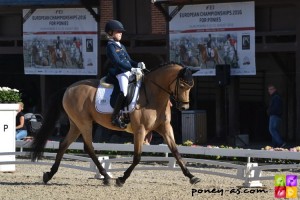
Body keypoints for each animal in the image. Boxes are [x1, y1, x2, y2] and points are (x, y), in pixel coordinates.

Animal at [30, 62, 200, 186]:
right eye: (182, 85)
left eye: (191, 86)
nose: (184, 107)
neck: (154, 95)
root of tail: (68, 88)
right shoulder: (140, 130)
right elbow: (137, 157)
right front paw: (121, 179)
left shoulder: (165, 128)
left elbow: (176, 151)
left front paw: (192, 176)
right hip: (84, 123)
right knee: (88, 147)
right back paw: (106, 177)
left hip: (76, 124)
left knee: (64, 144)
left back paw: (49, 175)